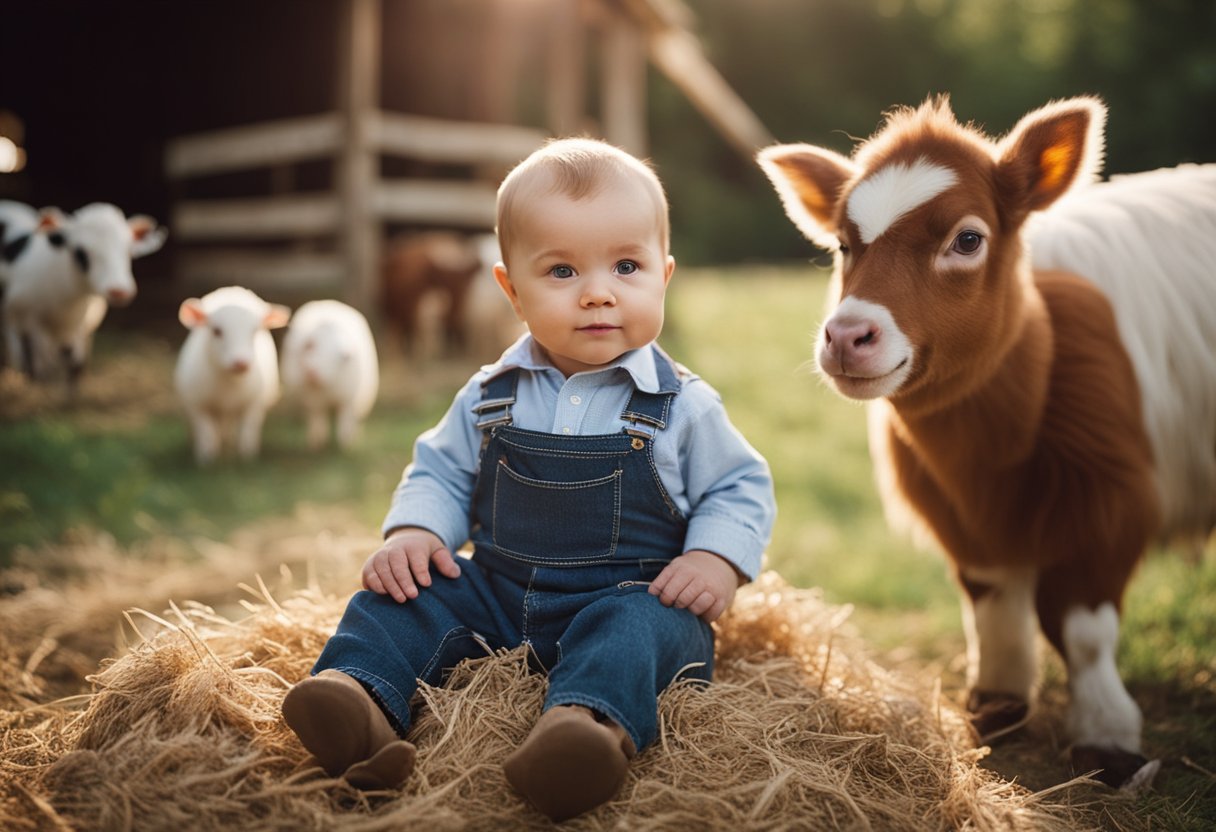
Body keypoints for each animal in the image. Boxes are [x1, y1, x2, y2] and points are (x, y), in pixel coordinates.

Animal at [173, 285, 289, 464]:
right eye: (216, 331)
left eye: (255, 331)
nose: (240, 363)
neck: (229, 385)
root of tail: (233, 290)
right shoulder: (196, 404)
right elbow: (206, 432)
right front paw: (206, 459)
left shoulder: (255, 403)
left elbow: (248, 430)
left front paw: (246, 457)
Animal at [753, 97, 1211, 788]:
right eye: (841, 243)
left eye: (967, 239)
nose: (846, 335)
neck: (990, 456)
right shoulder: (963, 519)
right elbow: (992, 605)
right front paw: (997, 708)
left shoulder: (1110, 506)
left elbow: (1081, 628)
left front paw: (1107, 739)